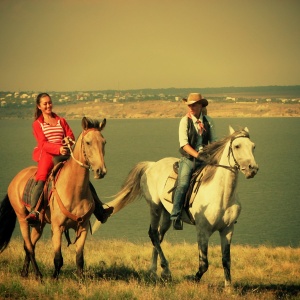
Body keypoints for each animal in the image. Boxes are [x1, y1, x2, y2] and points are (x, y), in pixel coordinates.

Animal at [0, 116, 107, 280]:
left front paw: (81, 280)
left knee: (29, 245)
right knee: (29, 246)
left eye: (104, 142)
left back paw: (25, 273)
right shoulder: (57, 228)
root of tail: (16, 179)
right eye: (88, 142)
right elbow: (58, 258)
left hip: (39, 224)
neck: (74, 190)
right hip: (22, 217)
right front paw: (54, 278)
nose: (101, 171)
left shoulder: (82, 227)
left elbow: (79, 258)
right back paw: (38, 275)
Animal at [93, 125, 258, 288]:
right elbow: (204, 264)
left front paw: (228, 288)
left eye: (253, 146)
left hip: (167, 214)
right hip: (155, 208)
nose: (253, 169)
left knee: (158, 236)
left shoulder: (227, 230)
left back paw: (154, 271)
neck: (221, 194)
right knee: (153, 234)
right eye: (237, 146)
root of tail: (151, 165)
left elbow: (226, 260)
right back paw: (165, 271)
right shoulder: (202, 231)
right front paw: (192, 279)